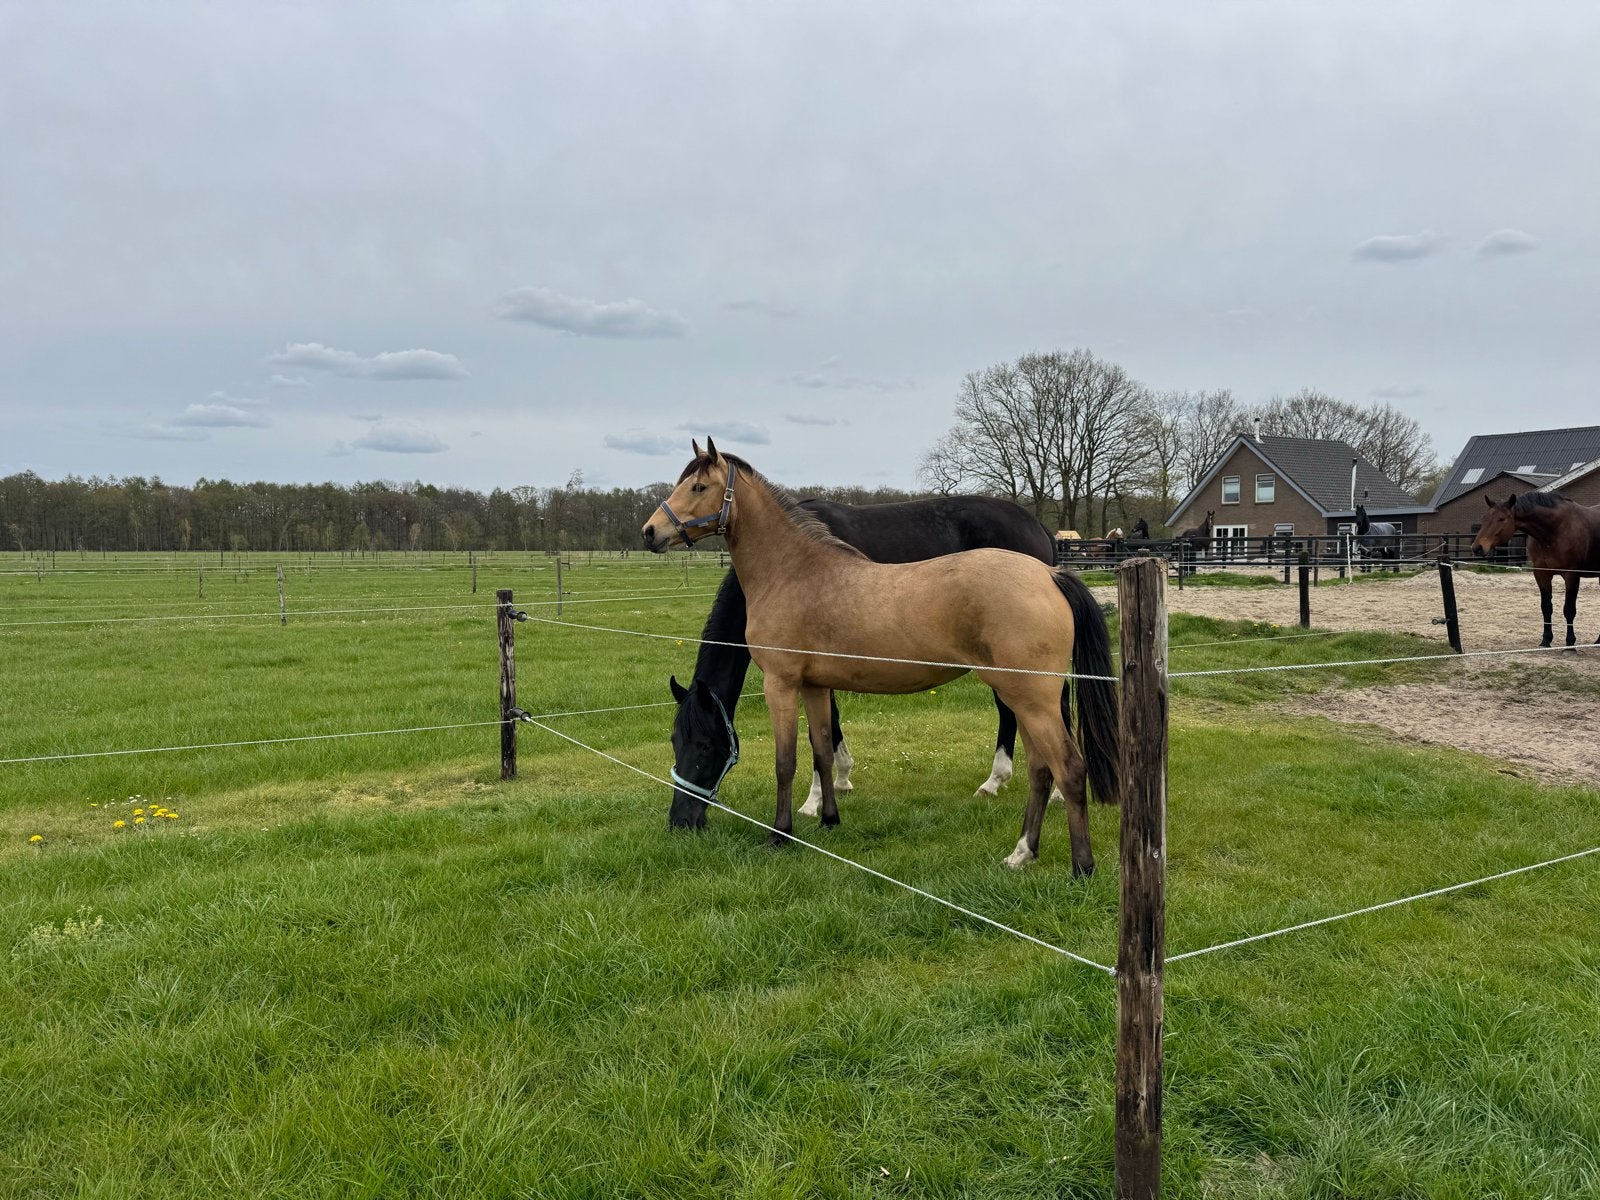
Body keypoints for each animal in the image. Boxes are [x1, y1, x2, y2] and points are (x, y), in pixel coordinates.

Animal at [667, 493, 1058, 824]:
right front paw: (840, 779)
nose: (681, 820)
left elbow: (821, 729)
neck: (784, 566)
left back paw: (1009, 783)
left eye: (704, 746)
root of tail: (1037, 526)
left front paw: (813, 801)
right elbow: (829, 725)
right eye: (674, 741)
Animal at [1472, 492, 1600, 648]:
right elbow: (1546, 607)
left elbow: (1569, 610)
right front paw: (1546, 640)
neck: (1555, 530)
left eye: (1501, 518)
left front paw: (1570, 643)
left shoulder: (1572, 575)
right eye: (1484, 518)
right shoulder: (1541, 573)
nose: (1477, 548)